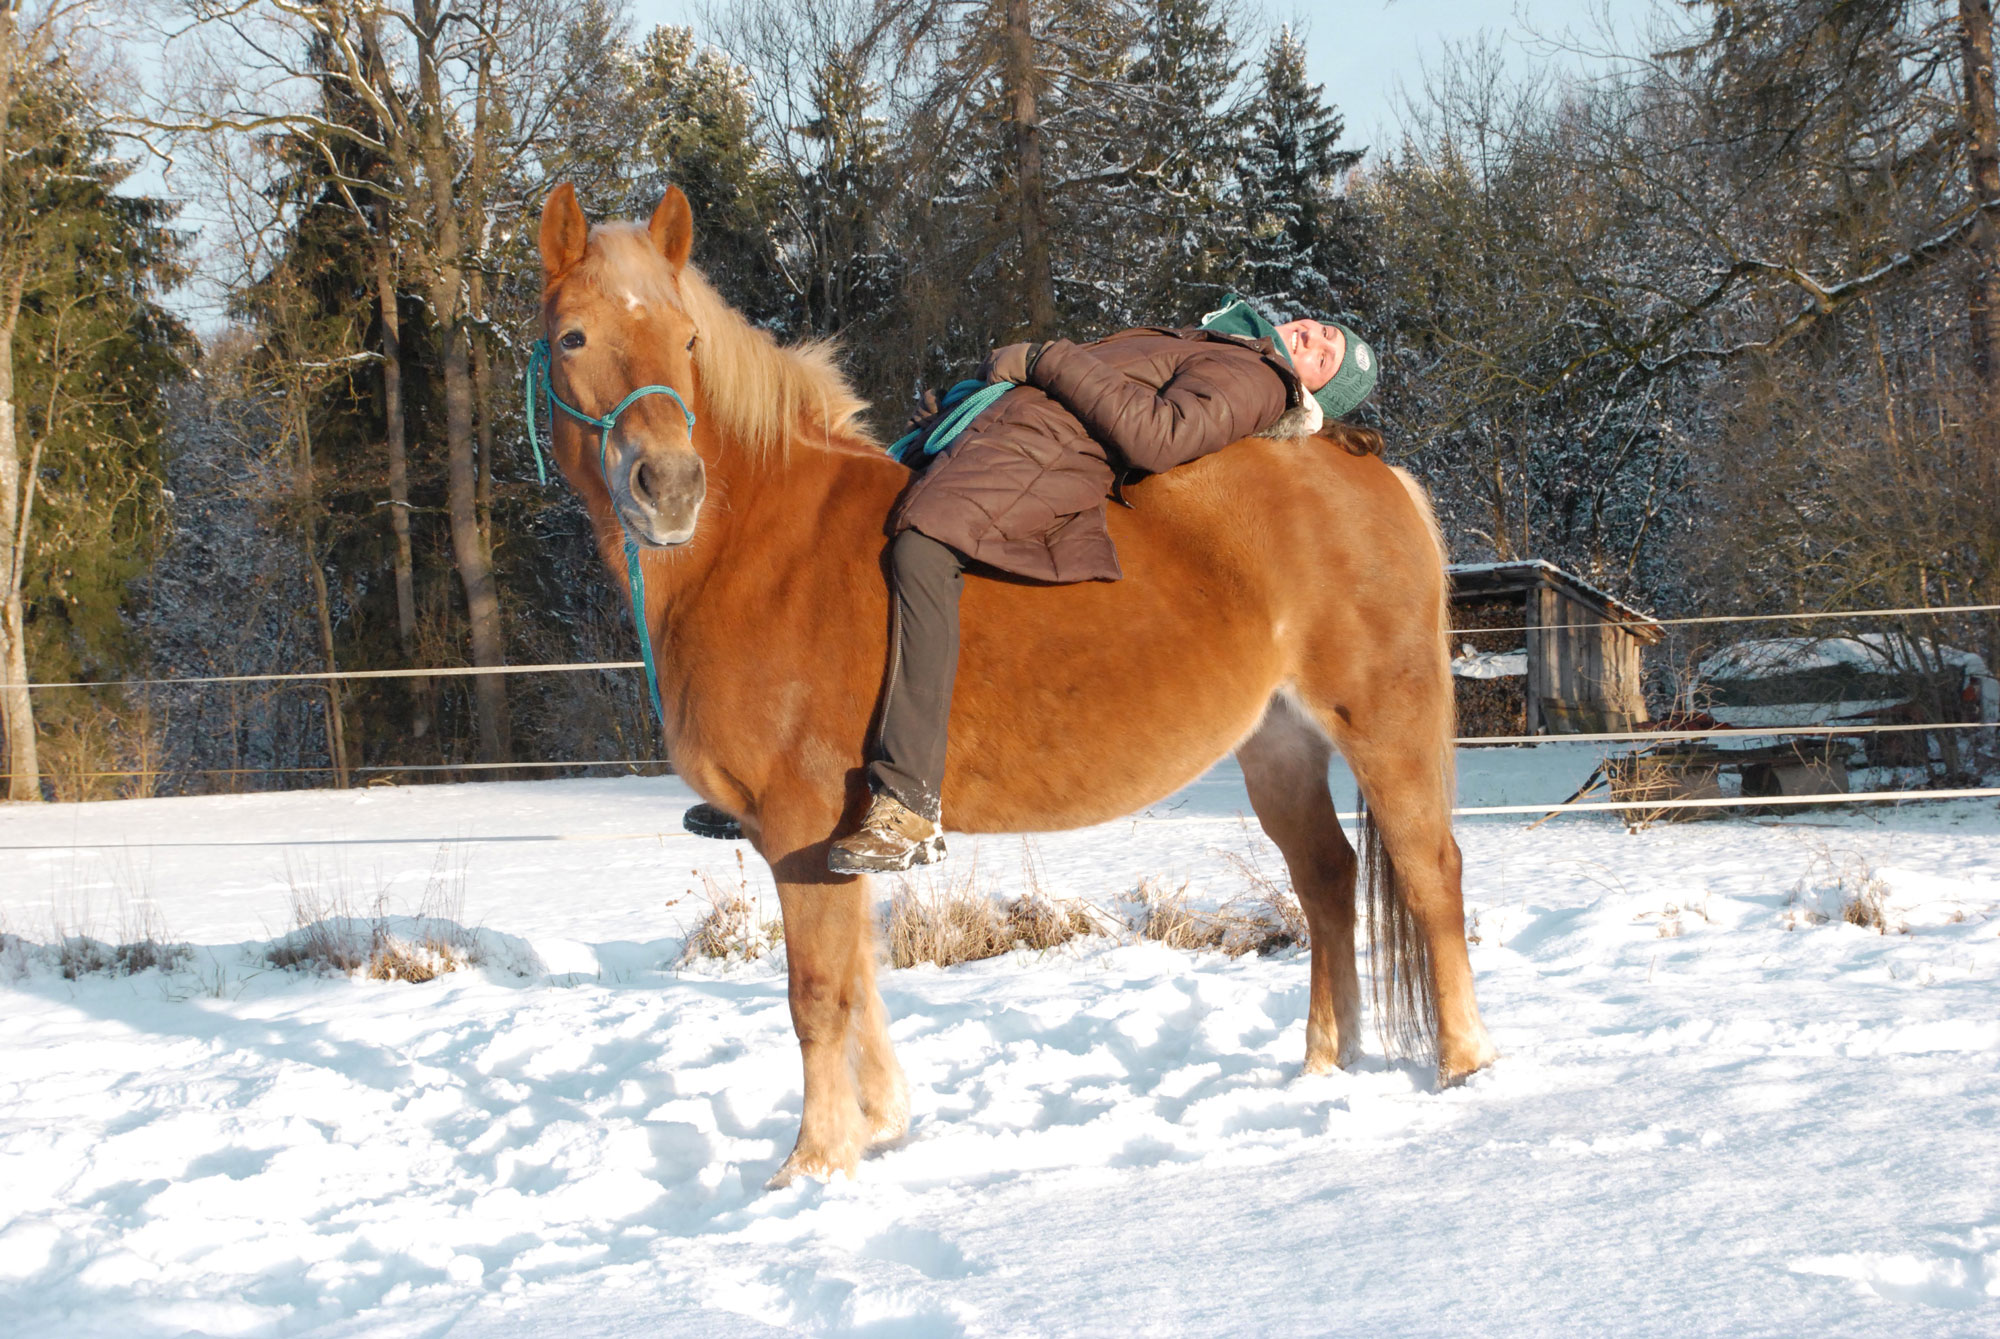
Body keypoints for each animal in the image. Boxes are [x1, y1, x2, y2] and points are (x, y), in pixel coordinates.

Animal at [535, 184, 1495, 1186]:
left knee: (1431, 872)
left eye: (687, 340)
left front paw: (814, 1163)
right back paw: (1324, 1066)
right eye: (572, 337)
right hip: (1279, 743)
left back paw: (1464, 1063)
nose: (669, 487)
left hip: (1383, 720)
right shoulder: (828, 844)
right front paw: (881, 1126)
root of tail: (1371, 466)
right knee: (1327, 879)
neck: (761, 545)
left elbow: (819, 992)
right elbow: (861, 982)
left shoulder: (801, 825)